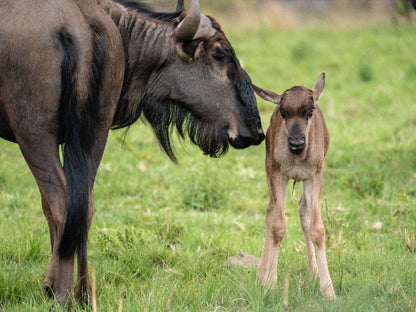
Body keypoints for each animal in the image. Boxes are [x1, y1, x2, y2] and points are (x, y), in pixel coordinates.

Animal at [252, 73, 336, 300]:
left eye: (311, 110)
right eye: (283, 111)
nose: (297, 143)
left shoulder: (315, 176)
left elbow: (317, 229)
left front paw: (328, 291)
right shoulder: (278, 175)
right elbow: (278, 226)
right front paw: (269, 283)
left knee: (302, 211)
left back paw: (313, 273)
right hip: (269, 171)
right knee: (270, 212)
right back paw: (261, 274)